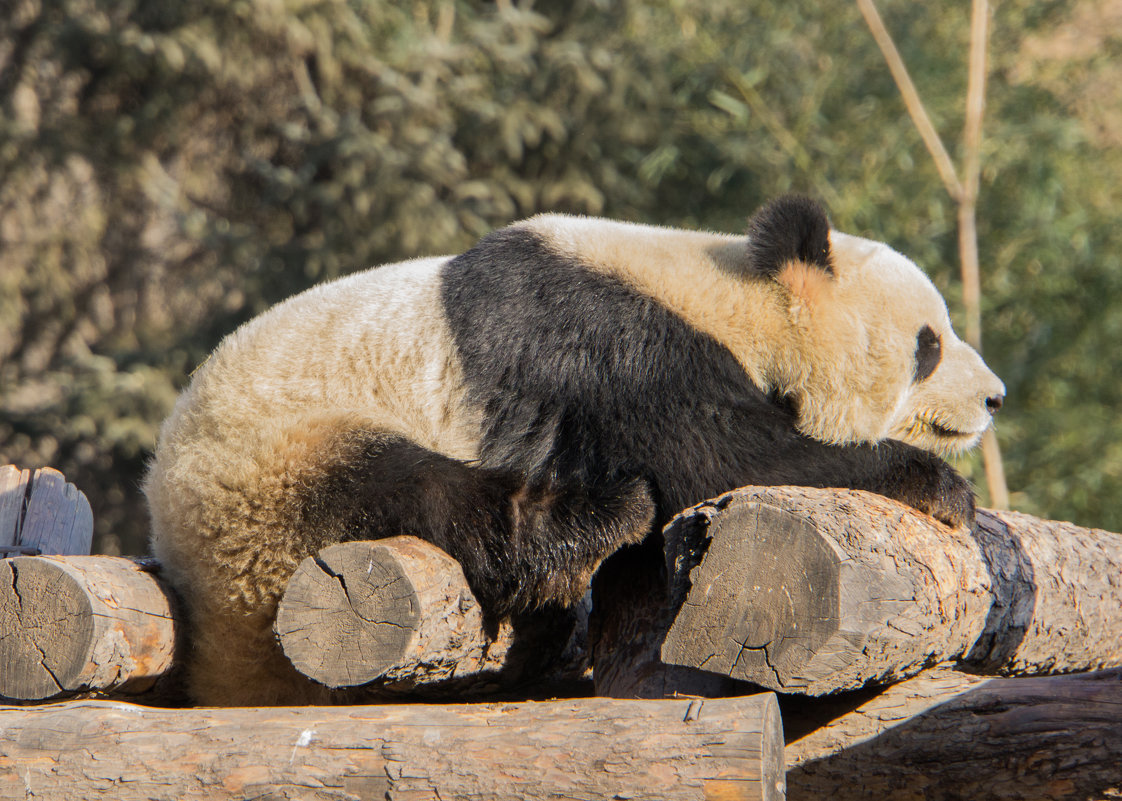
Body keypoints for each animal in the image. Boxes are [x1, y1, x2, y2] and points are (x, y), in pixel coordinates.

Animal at [144, 196, 1005, 700]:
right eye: (929, 344)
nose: (994, 397)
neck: (726, 289)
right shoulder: (613, 343)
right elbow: (722, 458)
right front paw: (936, 485)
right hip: (272, 460)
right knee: (423, 493)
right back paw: (599, 519)